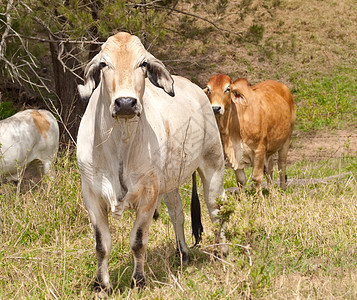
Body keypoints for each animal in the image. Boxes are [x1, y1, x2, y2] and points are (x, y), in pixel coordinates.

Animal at [76, 32, 227, 292]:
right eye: (104, 63)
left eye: (143, 64)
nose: (126, 103)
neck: (121, 143)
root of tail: (199, 90)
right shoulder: (92, 194)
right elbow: (102, 244)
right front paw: (101, 284)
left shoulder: (148, 193)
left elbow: (138, 240)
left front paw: (138, 280)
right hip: (170, 182)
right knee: (178, 213)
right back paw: (183, 253)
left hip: (214, 165)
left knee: (217, 209)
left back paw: (223, 251)